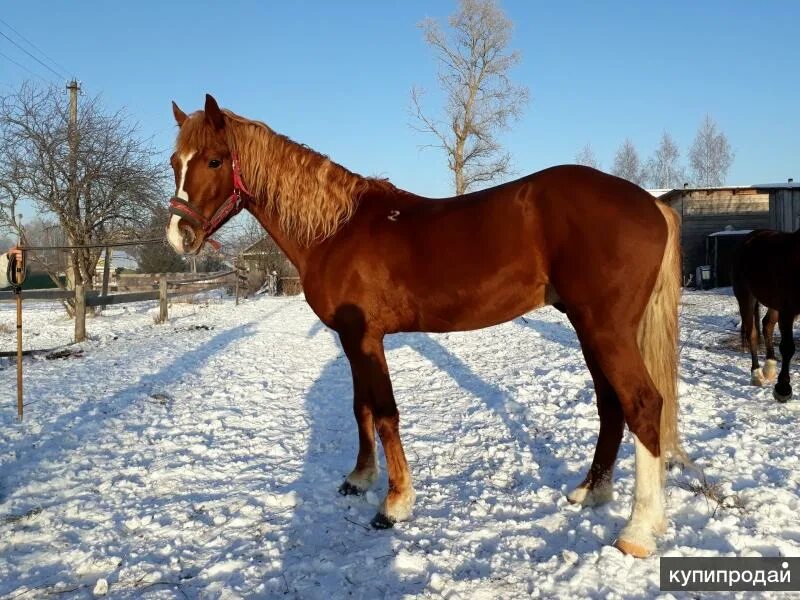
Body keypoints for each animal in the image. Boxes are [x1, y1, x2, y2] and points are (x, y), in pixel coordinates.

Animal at [166, 94, 684, 556]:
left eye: (214, 160)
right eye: (175, 160)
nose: (178, 235)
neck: (336, 229)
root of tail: (652, 204)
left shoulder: (365, 337)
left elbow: (385, 413)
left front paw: (395, 504)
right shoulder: (351, 340)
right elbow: (361, 408)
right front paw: (360, 479)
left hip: (605, 328)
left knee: (643, 404)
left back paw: (637, 532)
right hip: (588, 328)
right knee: (611, 405)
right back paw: (591, 492)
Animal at [732, 227, 800, 400]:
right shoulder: (788, 310)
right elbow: (787, 347)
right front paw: (783, 390)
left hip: (774, 303)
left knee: (767, 324)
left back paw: (769, 367)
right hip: (746, 297)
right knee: (752, 334)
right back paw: (756, 375)